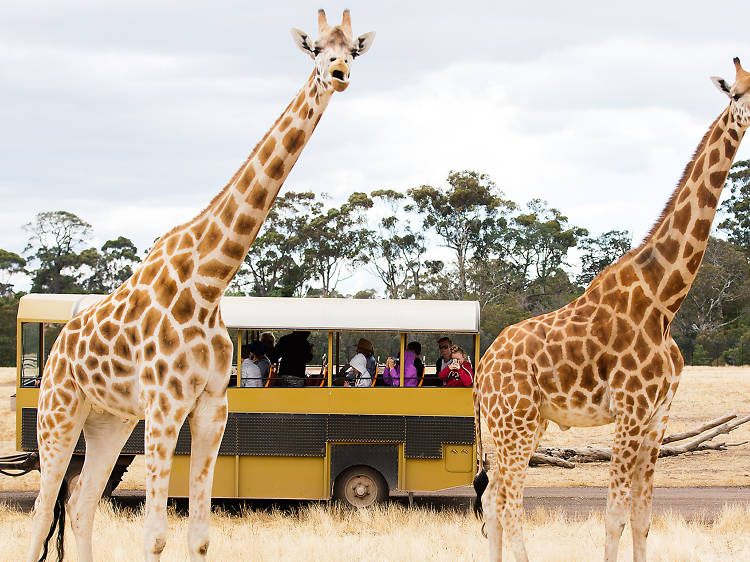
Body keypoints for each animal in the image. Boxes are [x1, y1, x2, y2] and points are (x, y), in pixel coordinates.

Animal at [28, 9, 376, 560]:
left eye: (353, 50)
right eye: (317, 49)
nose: (340, 73)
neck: (209, 281)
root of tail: (59, 344)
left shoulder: (212, 407)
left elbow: (201, 534)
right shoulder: (164, 406)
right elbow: (153, 535)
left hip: (109, 420)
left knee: (82, 502)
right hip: (59, 410)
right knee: (43, 510)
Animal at [476, 58, 750, 560]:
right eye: (736, 93)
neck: (665, 301)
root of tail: (483, 368)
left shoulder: (658, 416)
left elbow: (642, 517)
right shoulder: (630, 409)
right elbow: (614, 516)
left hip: (527, 422)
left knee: (492, 498)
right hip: (513, 421)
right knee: (508, 502)